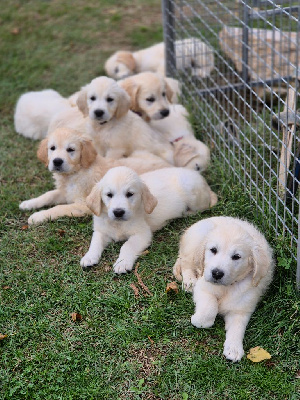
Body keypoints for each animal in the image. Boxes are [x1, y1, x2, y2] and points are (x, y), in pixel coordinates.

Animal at [19, 127, 171, 225]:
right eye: (52, 148)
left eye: (70, 149)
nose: (57, 161)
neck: (75, 173)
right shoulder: (65, 192)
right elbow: (48, 195)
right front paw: (29, 203)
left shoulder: (83, 204)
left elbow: (60, 207)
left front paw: (38, 216)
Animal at [81, 165, 218, 272]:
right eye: (109, 195)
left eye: (130, 194)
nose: (118, 212)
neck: (118, 224)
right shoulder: (101, 231)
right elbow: (95, 242)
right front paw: (89, 257)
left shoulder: (142, 233)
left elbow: (127, 245)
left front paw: (122, 262)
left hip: (192, 194)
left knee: (205, 205)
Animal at [173, 217, 274, 360]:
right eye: (213, 250)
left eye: (236, 256)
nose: (216, 273)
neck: (226, 287)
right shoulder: (203, 289)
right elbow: (209, 307)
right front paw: (199, 321)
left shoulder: (241, 309)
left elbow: (237, 328)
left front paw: (234, 348)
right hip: (194, 244)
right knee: (185, 262)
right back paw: (190, 281)